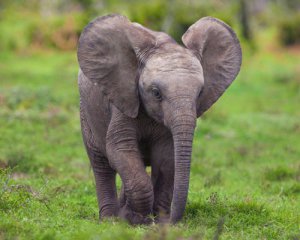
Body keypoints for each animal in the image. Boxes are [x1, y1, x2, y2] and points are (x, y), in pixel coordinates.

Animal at [77, 13, 241, 225]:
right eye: (156, 93)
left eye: (200, 93)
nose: (171, 220)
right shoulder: (123, 100)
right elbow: (120, 149)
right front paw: (136, 219)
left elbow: (166, 156)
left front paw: (154, 220)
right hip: (86, 112)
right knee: (101, 164)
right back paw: (109, 219)